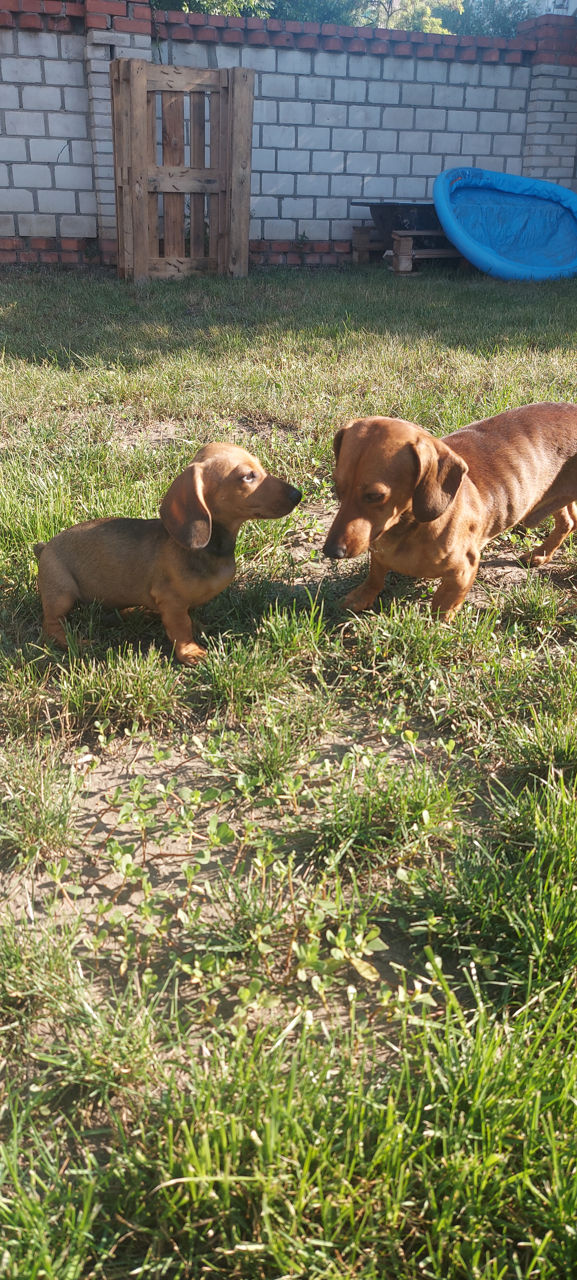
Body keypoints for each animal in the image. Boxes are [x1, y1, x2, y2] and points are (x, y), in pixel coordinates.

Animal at [34, 442, 303, 665]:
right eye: (247, 476)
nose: (297, 494)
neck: (212, 549)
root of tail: (44, 548)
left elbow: (191, 619)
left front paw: (200, 627)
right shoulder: (172, 601)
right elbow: (182, 627)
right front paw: (191, 652)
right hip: (62, 593)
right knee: (51, 626)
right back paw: (76, 642)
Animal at [322, 401, 577, 616]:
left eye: (375, 496)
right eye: (337, 487)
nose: (331, 551)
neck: (407, 527)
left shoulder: (464, 570)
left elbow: (442, 606)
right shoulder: (378, 549)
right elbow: (375, 576)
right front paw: (361, 595)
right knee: (568, 522)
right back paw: (540, 554)